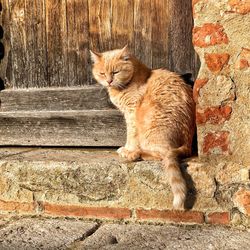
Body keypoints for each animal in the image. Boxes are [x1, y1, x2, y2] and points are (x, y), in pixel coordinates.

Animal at [90, 45, 195, 209]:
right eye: (102, 73)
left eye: (115, 72)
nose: (109, 81)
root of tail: (188, 145)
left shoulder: (132, 113)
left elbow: (131, 135)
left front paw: (128, 149)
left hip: (151, 128)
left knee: (162, 154)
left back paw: (134, 154)